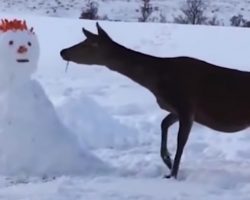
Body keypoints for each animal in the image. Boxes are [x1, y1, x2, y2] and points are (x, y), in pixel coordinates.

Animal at [60, 22, 250, 179]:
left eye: (89, 44)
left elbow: (181, 141)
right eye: (83, 41)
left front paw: (172, 174)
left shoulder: (186, 105)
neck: (157, 82)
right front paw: (167, 160)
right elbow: (163, 124)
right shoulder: (176, 109)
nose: (63, 51)